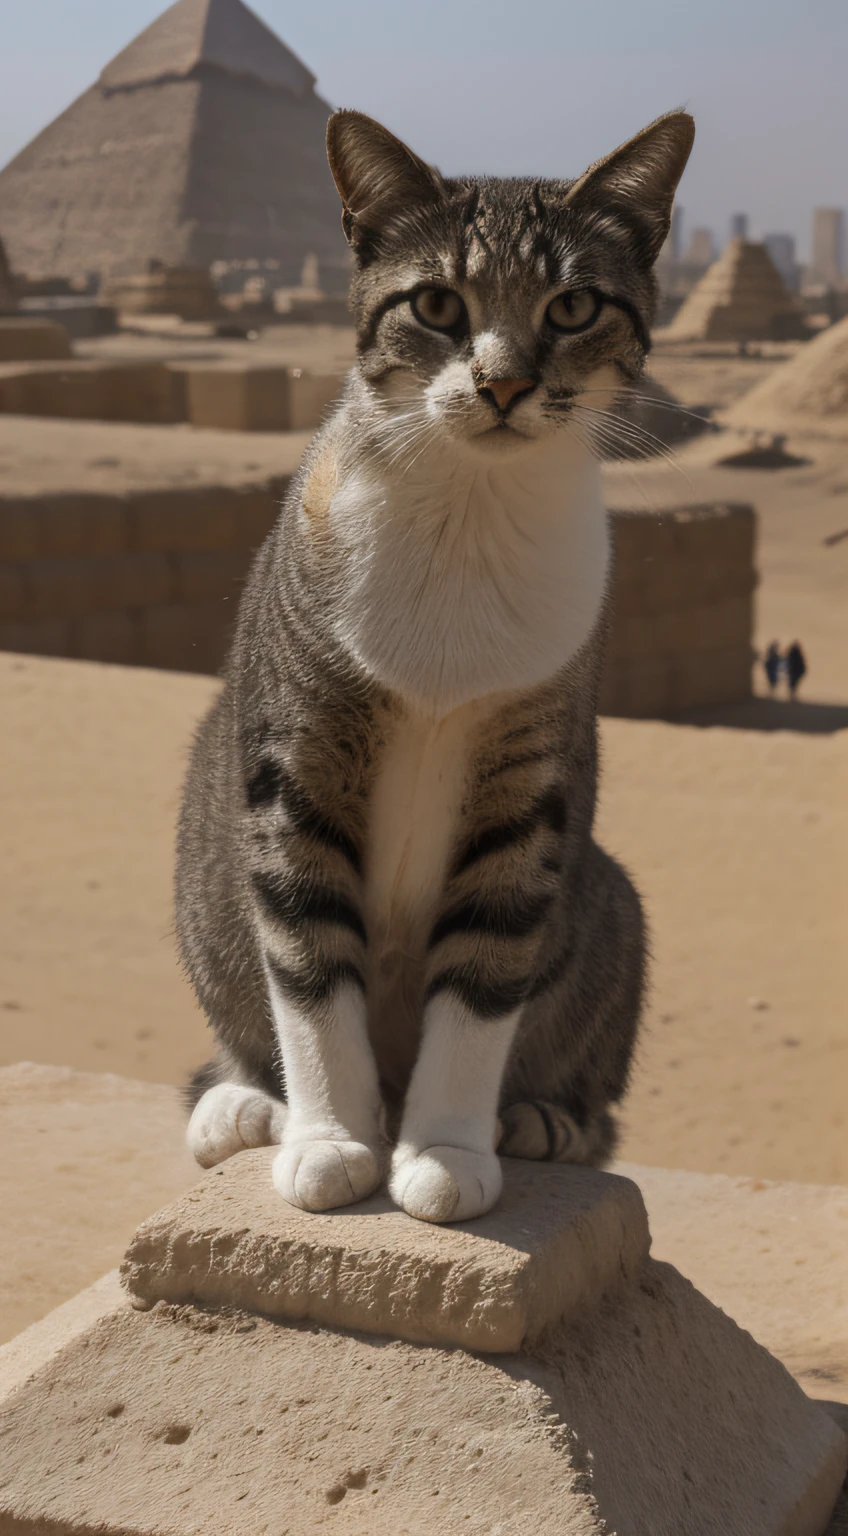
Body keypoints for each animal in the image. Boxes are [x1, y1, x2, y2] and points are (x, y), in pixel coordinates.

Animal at [175, 102, 691, 1222]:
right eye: (438, 303)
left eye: (573, 305)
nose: (501, 382)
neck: (466, 514)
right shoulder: (293, 764)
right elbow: (308, 963)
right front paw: (331, 1140)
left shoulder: (528, 790)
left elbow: (488, 972)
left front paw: (448, 1150)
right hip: (201, 872)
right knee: (244, 1006)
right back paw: (247, 1105)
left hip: (612, 901)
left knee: (593, 1085)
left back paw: (535, 1119)